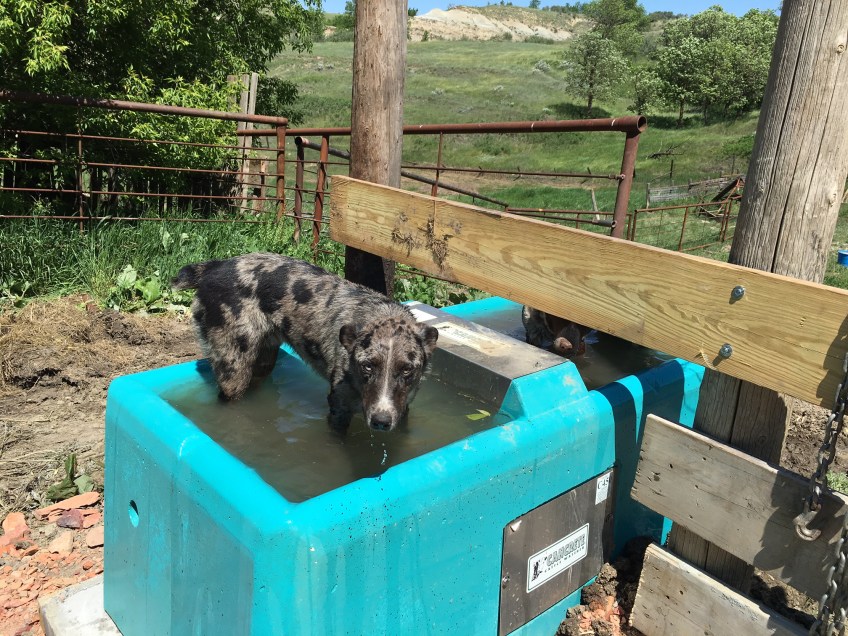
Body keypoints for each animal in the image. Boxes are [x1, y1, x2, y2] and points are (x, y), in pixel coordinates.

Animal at [172, 253, 439, 433]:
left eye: (407, 370)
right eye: (367, 366)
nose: (381, 422)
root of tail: (215, 266)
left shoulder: (402, 408)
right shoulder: (338, 408)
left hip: (263, 361)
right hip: (234, 368)